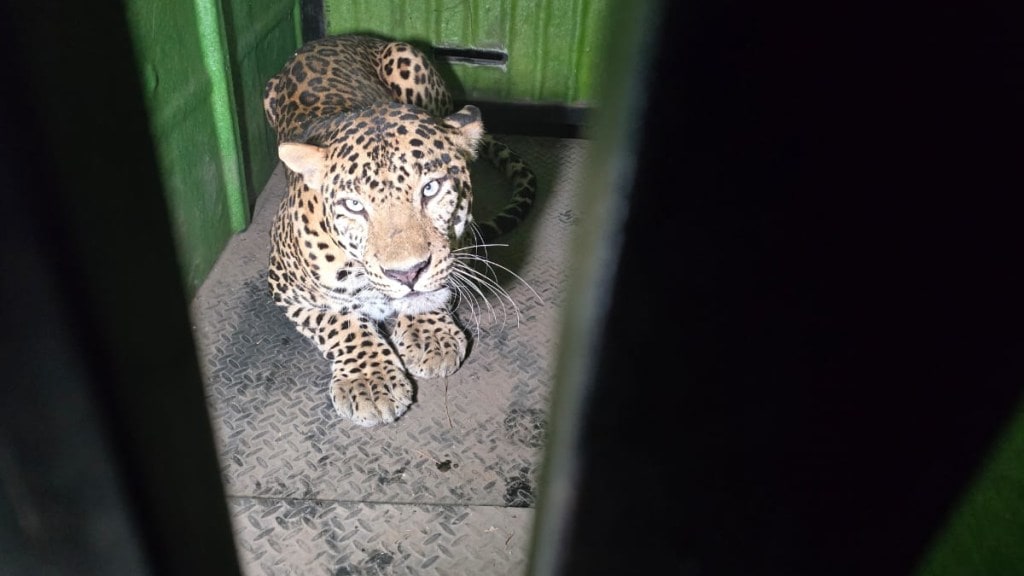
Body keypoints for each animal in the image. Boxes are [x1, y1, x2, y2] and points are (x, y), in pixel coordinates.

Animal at [262, 34, 536, 427]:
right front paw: (368, 380)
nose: (407, 274)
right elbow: (340, 323)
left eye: (430, 189)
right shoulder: (285, 287)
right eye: (354, 206)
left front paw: (429, 333)